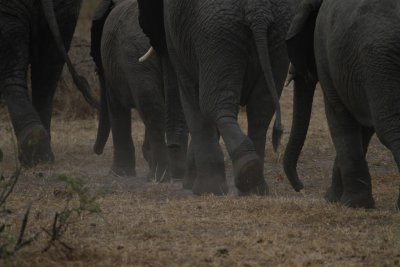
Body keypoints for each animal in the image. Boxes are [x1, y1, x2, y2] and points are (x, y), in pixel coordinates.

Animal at [0, 0, 98, 168]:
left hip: (7, 9)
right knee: (48, 71)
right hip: (67, 8)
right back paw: (41, 152)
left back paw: (33, 155)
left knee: (14, 69)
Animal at [91, 0, 188, 180]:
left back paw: (159, 176)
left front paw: (118, 174)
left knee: (150, 106)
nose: (97, 151)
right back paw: (178, 173)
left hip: (136, 57)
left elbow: (116, 108)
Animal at [138, 0, 296, 197]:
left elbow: (192, 99)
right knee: (261, 108)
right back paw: (254, 185)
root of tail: (257, 9)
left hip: (216, 33)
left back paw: (233, 179)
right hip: (276, 35)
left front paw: (203, 190)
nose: (173, 146)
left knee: (214, 105)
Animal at [282, 0, 400, 209]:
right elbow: (362, 128)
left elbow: (338, 112)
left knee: (388, 127)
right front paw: (334, 199)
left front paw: (352, 204)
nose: (300, 188)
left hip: (379, 59)